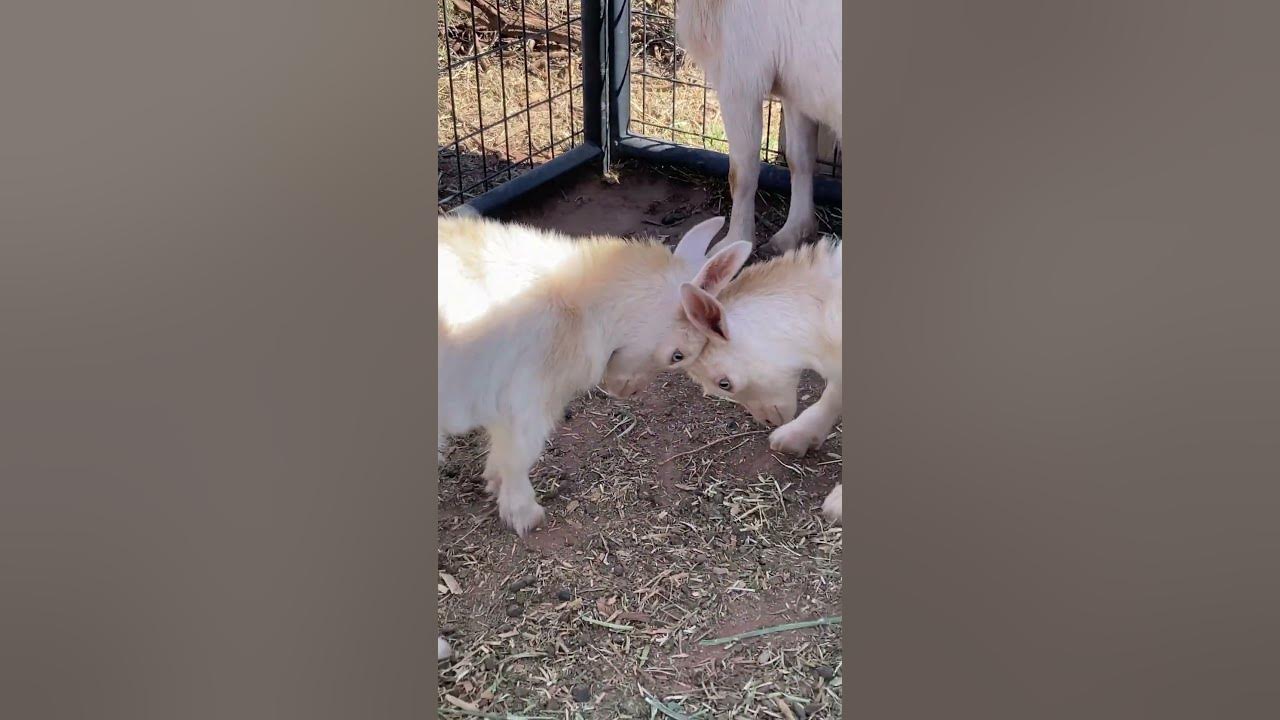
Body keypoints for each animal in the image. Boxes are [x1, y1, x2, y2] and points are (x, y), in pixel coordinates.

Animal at [677, 0, 841, 255]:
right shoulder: (795, 91)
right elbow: (799, 158)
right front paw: (794, 233)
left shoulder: (740, 79)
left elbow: (741, 173)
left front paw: (735, 242)